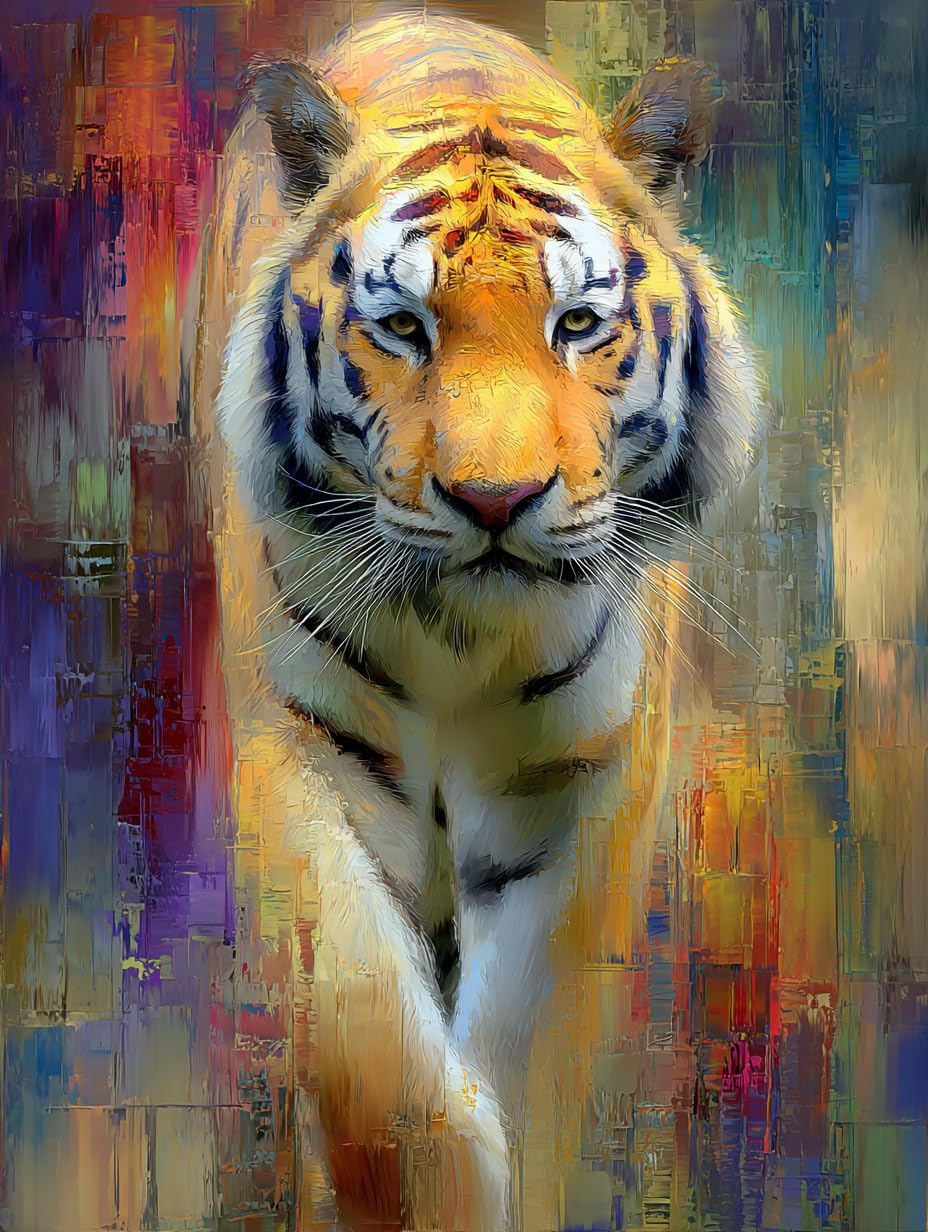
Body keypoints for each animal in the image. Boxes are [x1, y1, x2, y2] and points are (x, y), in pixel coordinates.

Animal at [184, 10, 763, 1230]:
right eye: (403, 327)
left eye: (577, 323)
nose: (495, 502)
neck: (463, 632)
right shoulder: (299, 750)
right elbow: (368, 1050)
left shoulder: (583, 786)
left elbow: (535, 1054)